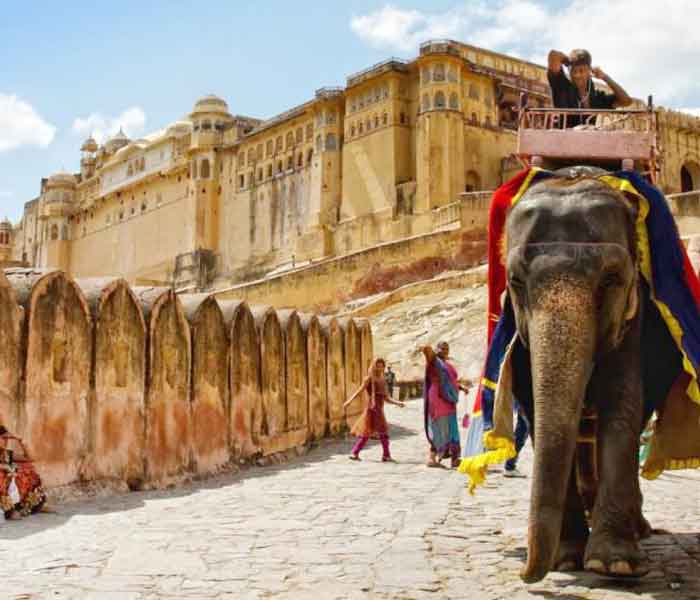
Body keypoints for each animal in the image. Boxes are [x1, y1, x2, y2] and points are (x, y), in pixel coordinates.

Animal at [503, 167, 682, 583]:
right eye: (516, 281)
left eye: (611, 279)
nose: (523, 574)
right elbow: (534, 407)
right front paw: (566, 559)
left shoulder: (635, 316)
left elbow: (623, 400)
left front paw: (613, 564)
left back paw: (638, 529)